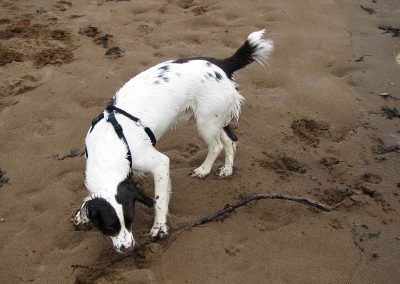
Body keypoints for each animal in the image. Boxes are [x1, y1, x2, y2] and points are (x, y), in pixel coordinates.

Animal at [72, 30, 272, 254]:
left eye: (131, 220)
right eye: (109, 227)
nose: (129, 249)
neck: (110, 144)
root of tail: (222, 64)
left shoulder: (159, 162)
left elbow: (159, 200)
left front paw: (159, 227)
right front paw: (81, 214)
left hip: (206, 122)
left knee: (217, 145)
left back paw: (204, 170)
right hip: (213, 118)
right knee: (231, 140)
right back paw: (227, 168)